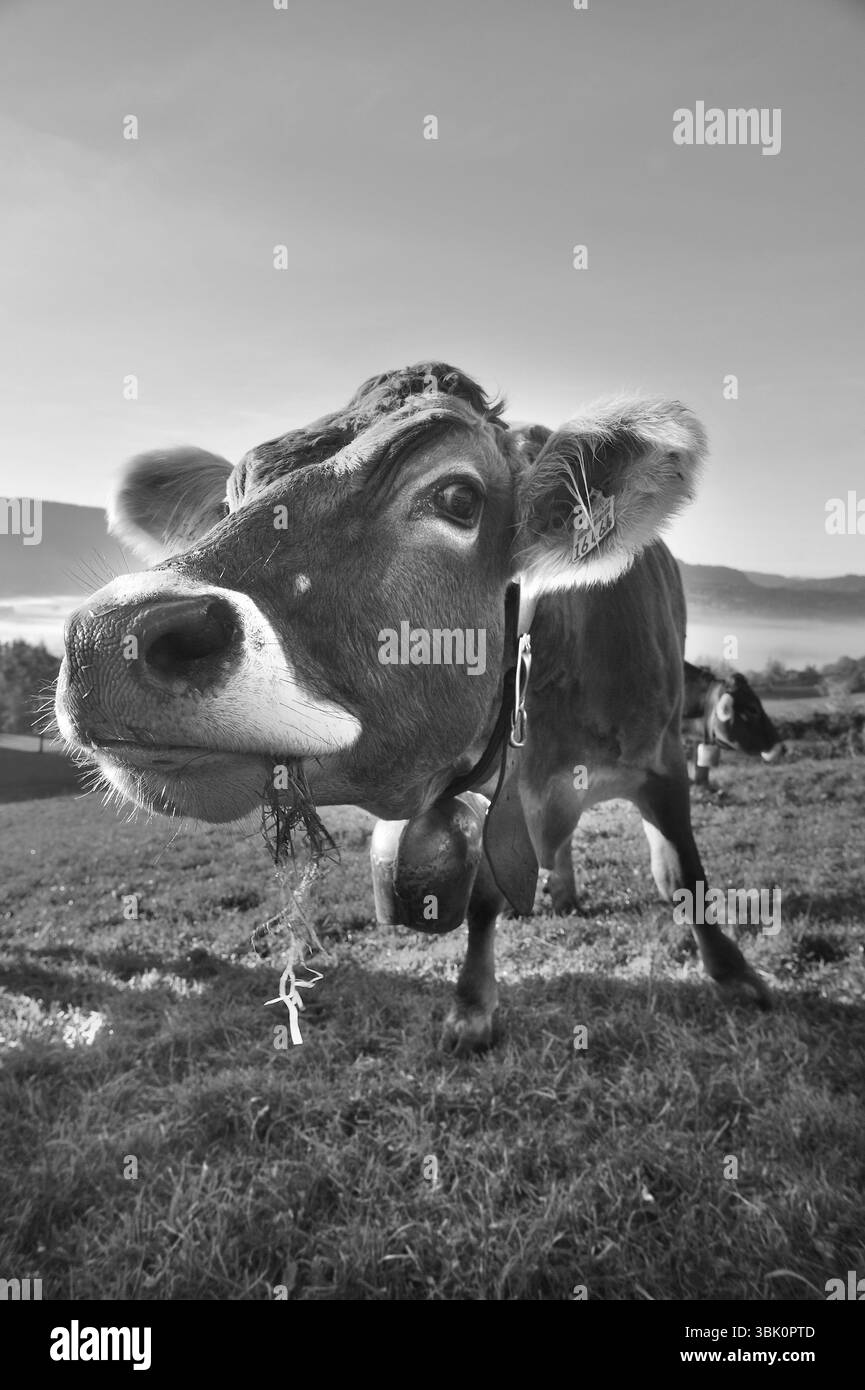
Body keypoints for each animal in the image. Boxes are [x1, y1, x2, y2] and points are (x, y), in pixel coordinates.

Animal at [55, 363, 770, 1055]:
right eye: (232, 500)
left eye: (458, 498)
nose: (108, 638)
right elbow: (485, 898)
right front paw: (473, 1010)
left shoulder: (664, 756)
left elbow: (683, 870)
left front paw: (733, 974)